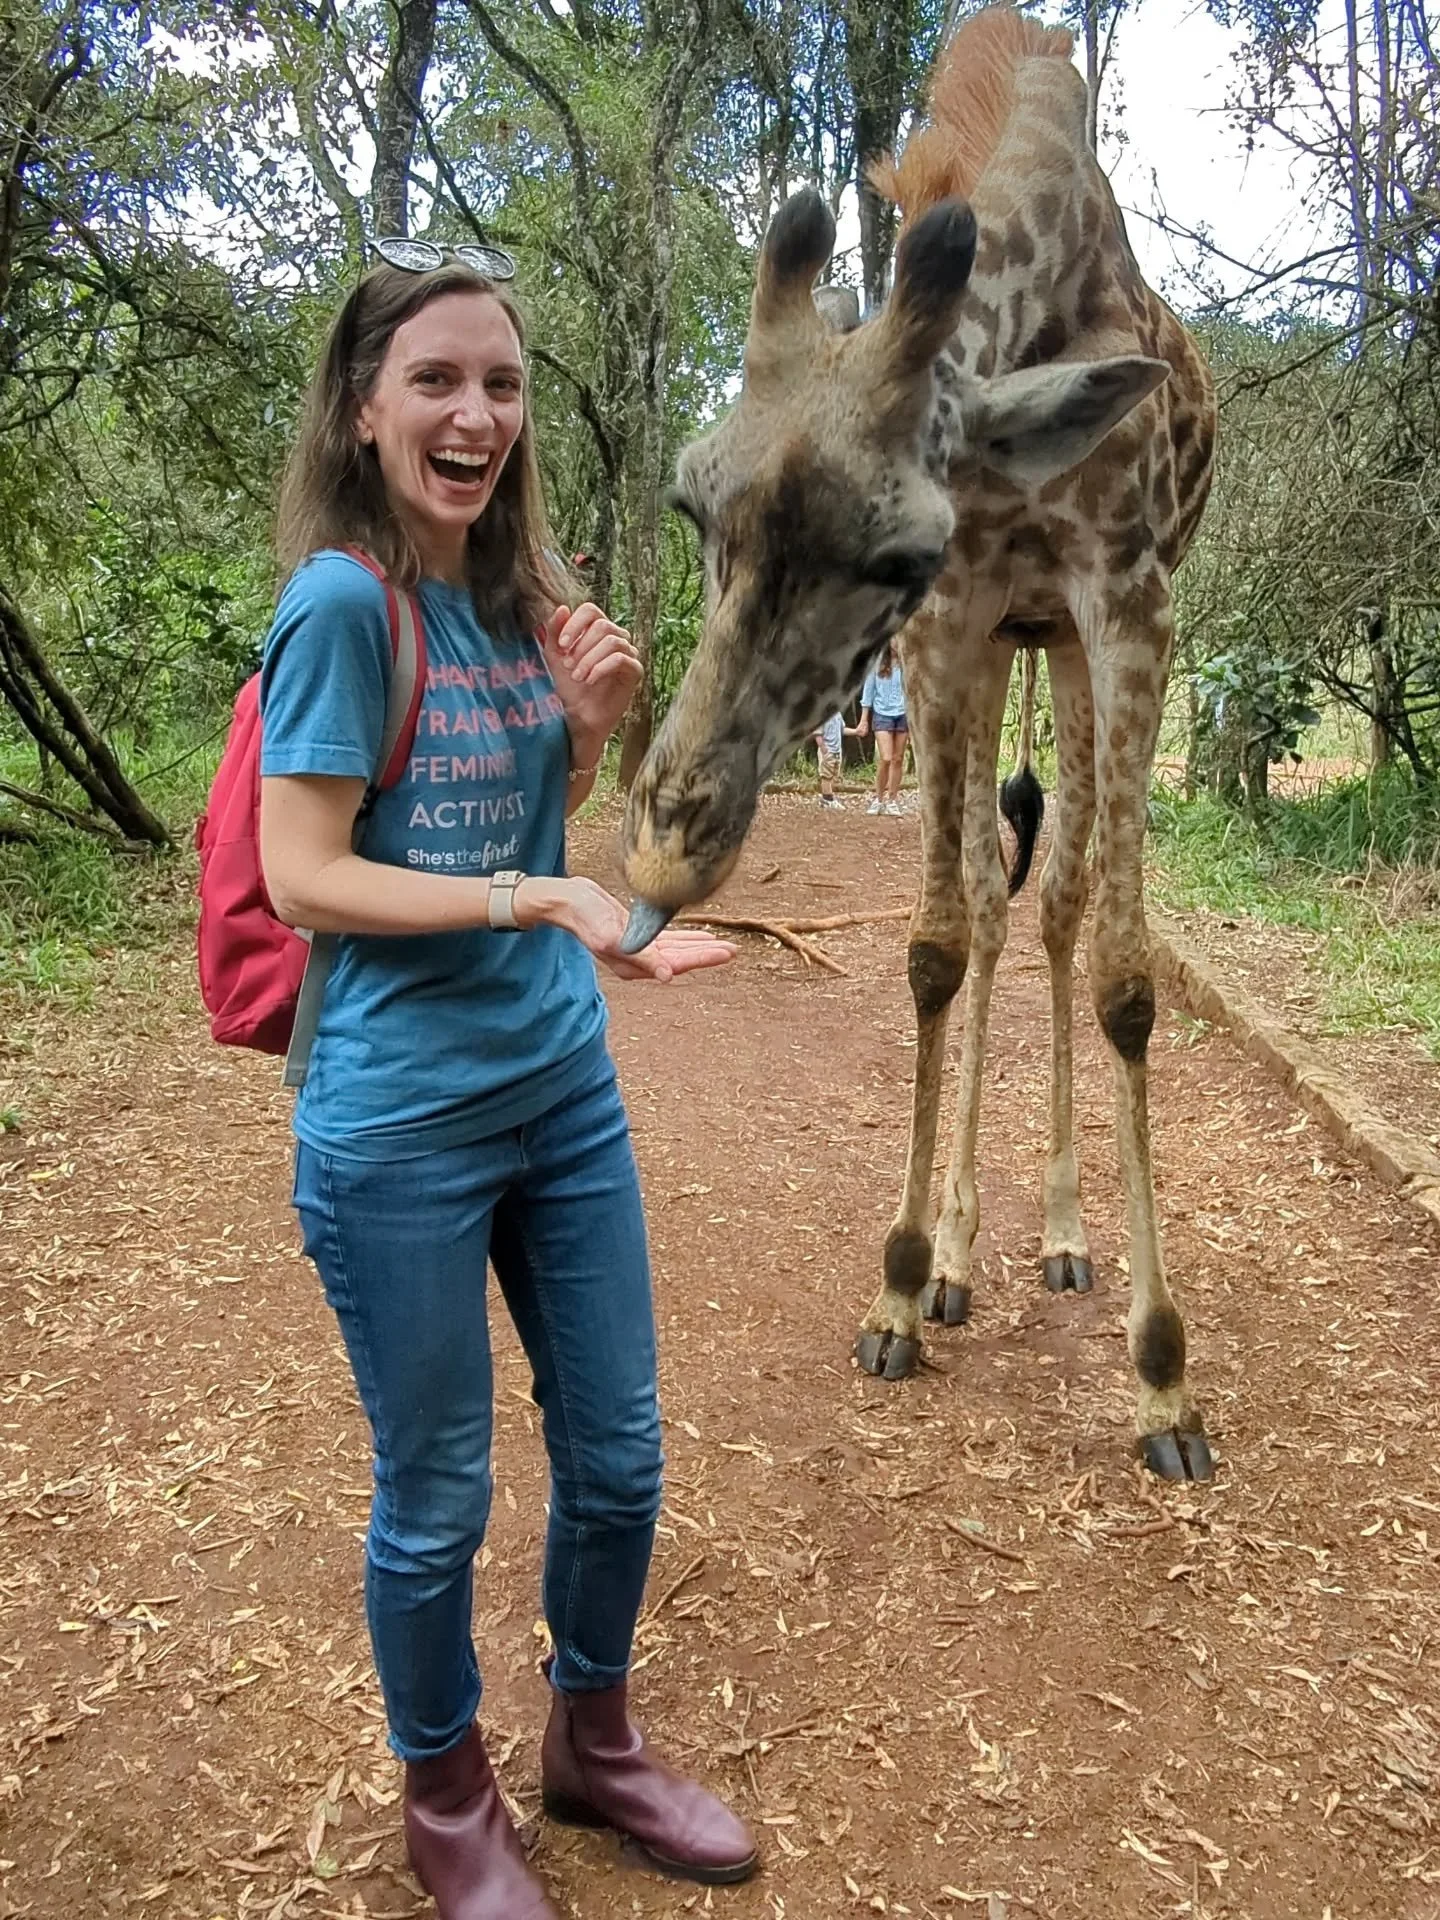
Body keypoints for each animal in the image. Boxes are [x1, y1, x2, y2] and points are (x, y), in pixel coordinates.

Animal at [618, 7, 1217, 1481]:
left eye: (891, 547)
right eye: (691, 501)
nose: (660, 861)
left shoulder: (1126, 600)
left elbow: (1126, 978)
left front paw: (1163, 1377)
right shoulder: (956, 619)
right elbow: (939, 944)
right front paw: (899, 1285)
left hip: (1065, 644)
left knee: (1059, 905)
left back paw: (1063, 1240)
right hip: (1009, 637)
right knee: (1005, 912)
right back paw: (960, 1253)